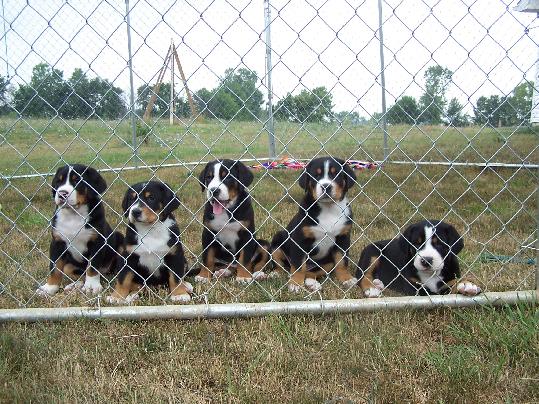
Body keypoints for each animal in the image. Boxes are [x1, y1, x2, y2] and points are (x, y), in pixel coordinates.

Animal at [36, 163, 123, 296]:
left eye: (77, 180)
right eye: (58, 182)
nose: (62, 193)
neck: (73, 215)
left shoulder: (97, 242)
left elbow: (92, 267)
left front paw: (91, 286)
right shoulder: (57, 242)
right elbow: (54, 268)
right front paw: (49, 288)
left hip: (119, 239)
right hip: (69, 266)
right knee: (80, 275)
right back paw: (74, 286)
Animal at [270, 156, 358, 292]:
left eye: (336, 174)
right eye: (316, 176)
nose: (326, 187)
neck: (328, 209)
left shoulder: (343, 238)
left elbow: (342, 262)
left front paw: (346, 279)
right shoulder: (299, 240)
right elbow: (298, 265)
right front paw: (295, 284)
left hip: (327, 263)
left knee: (311, 272)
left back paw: (312, 283)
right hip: (278, 239)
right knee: (283, 264)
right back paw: (275, 273)